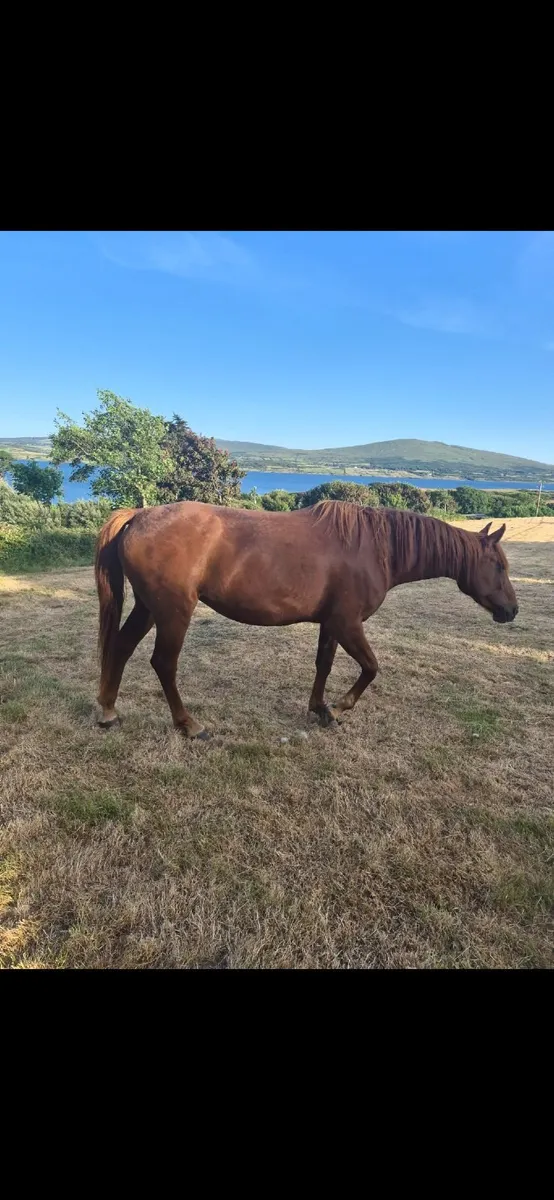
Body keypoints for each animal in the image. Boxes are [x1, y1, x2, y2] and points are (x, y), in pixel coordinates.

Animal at [94, 500, 518, 739]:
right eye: (498, 565)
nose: (512, 610)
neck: (376, 547)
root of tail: (139, 515)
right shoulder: (348, 623)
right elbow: (371, 667)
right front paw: (342, 706)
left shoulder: (331, 623)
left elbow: (324, 664)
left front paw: (320, 709)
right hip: (174, 612)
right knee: (163, 663)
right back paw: (189, 725)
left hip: (149, 608)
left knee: (121, 647)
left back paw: (108, 713)